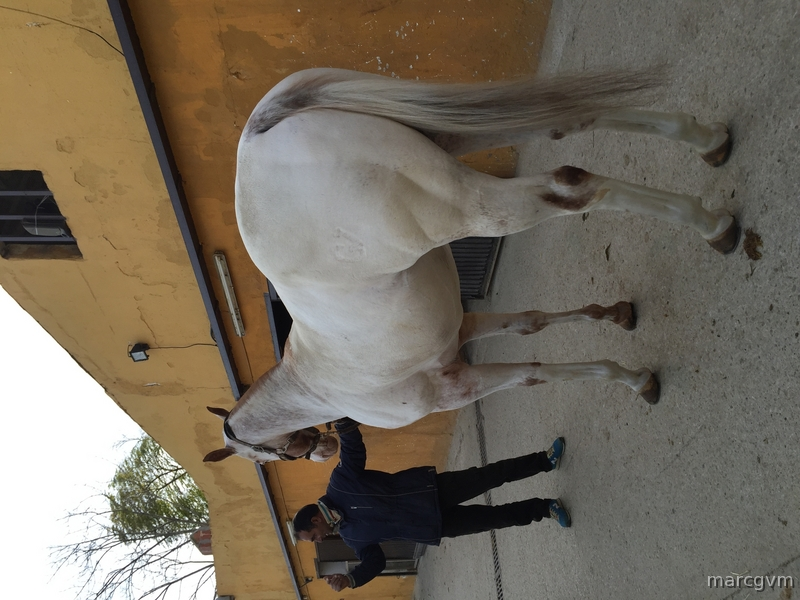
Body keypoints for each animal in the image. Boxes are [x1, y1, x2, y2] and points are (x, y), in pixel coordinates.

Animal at [203, 68, 738, 464]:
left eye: (264, 455)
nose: (327, 450)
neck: (313, 384)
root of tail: (259, 132)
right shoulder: (464, 328)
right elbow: (531, 323)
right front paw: (616, 315)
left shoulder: (454, 389)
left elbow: (533, 375)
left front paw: (632, 378)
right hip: (464, 130)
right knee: (574, 121)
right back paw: (708, 140)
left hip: (471, 205)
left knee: (573, 189)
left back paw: (714, 226)